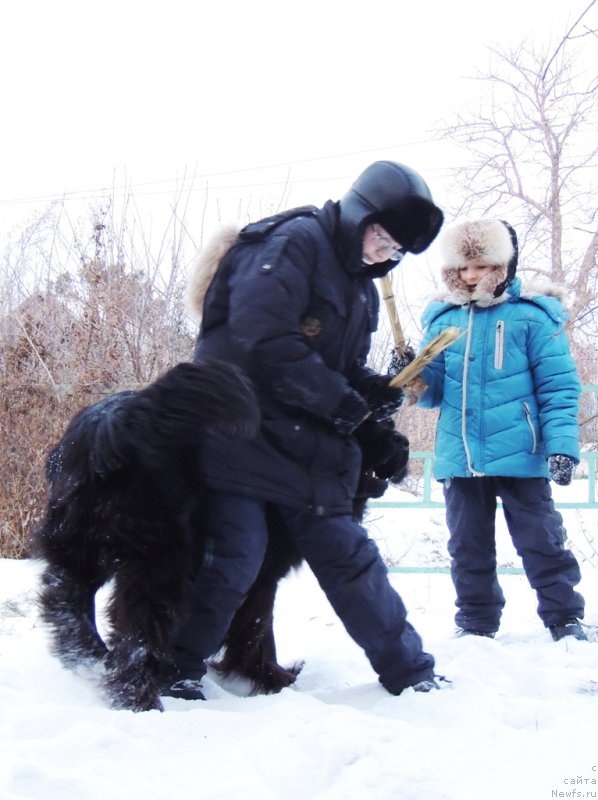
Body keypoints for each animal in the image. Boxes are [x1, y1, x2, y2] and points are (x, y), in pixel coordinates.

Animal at [31, 360, 408, 708]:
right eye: (376, 425)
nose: (403, 443)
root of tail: (118, 425)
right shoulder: (263, 575)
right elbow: (258, 627)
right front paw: (272, 678)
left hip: (83, 544)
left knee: (65, 592)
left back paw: (87, 655)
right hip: (160, 559)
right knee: (135, 628)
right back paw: (139, 696)